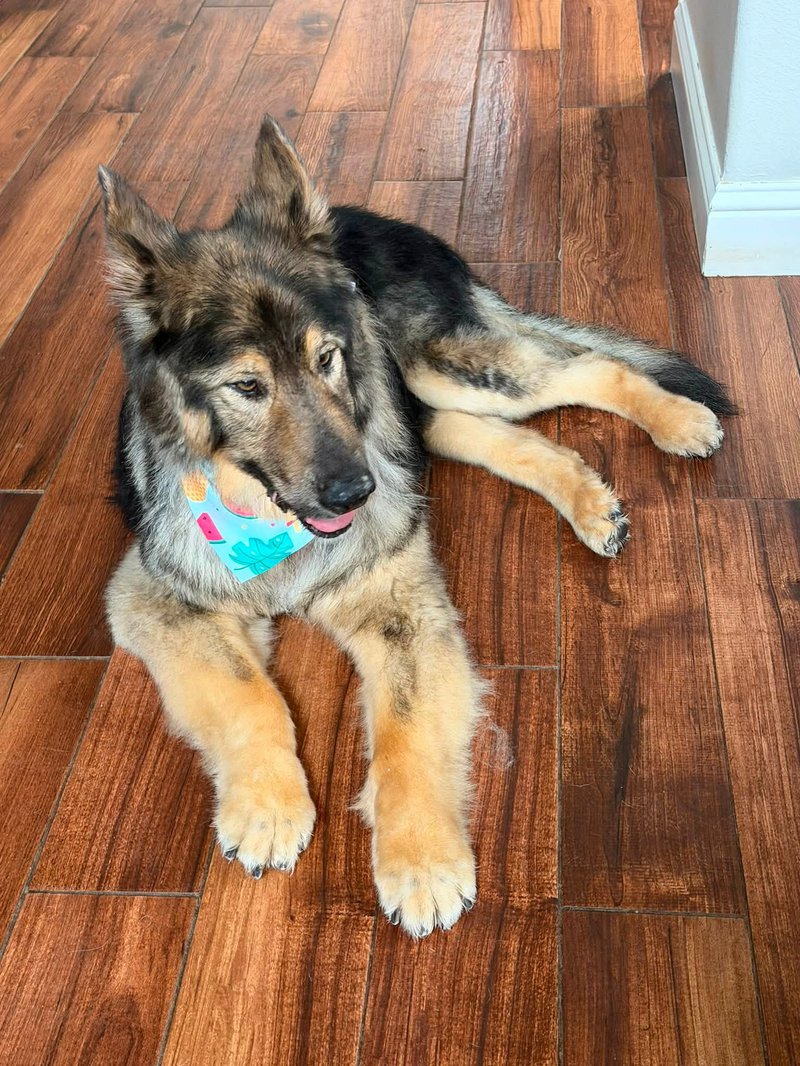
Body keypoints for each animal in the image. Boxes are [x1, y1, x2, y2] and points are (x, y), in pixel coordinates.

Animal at [100, 117, 733, 938]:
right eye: (247, 386)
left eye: (329, 359)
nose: (355, 492)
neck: (266, 518)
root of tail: (375, 221)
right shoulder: (157, 601)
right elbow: (249, 696)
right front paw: (268, 807)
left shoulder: (400, 608)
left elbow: (404, 734)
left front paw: (423, 861)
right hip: (422, 417)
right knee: (517, 439)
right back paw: (592, 502)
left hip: (435, 371)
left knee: (591, 367)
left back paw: (678, 420)